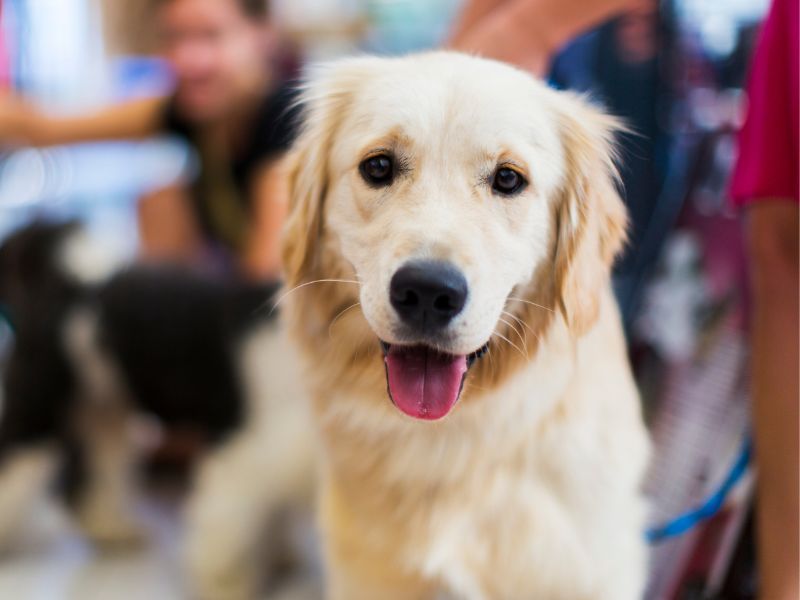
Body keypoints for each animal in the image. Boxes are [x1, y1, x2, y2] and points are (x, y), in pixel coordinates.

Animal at [0, 220, 316, 600]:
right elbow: (227, 531)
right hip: (38, 408)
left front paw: (278, 555)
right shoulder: (244, 447)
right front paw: (229, 585)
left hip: (104, 409)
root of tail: (76, 281)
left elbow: (271, 512)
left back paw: (111, 528)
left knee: (92, 478)